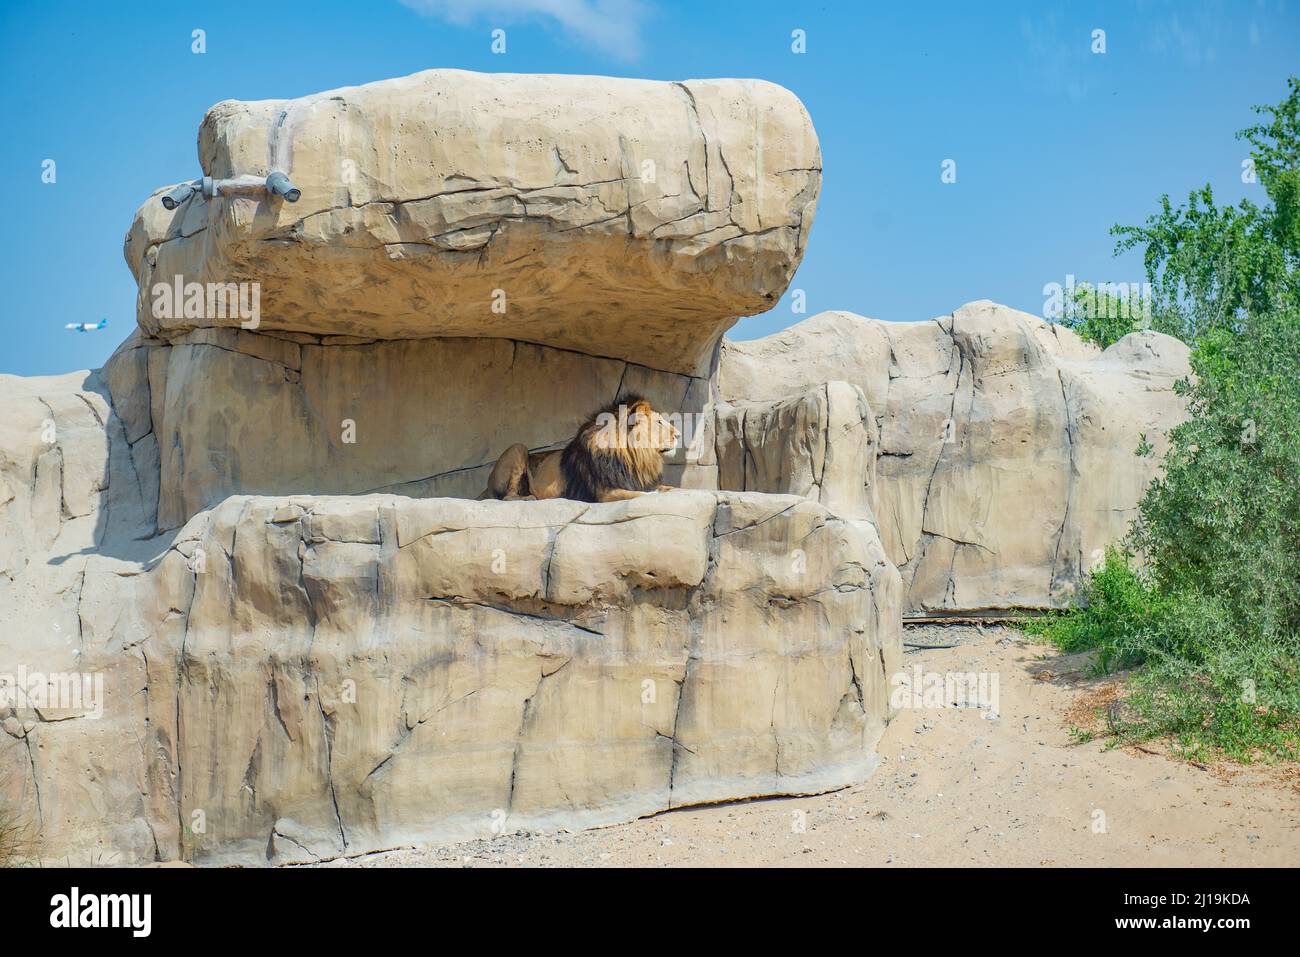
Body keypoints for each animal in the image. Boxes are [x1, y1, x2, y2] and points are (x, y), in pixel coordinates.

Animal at [477, 395, 680, 503]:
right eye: (659, 422)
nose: (678, 435)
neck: (634, 458)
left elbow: (671, 488)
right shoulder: (605, 493)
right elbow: (641, 495)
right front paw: (655, 495)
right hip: (517, 448)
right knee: (506, 497)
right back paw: (528, 497)